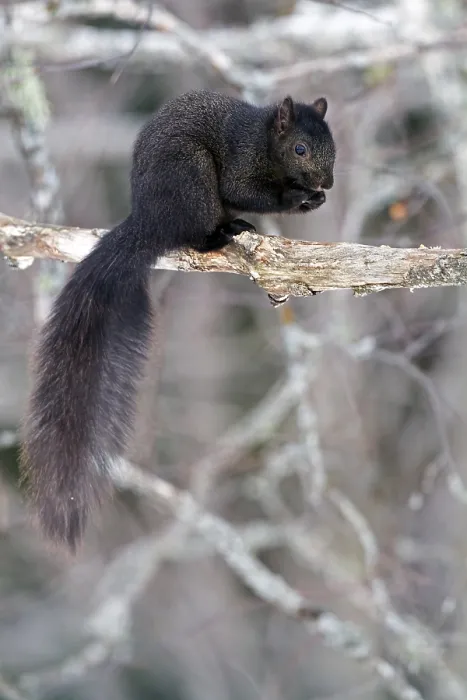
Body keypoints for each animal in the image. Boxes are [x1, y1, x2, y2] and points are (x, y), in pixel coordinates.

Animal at [19, 90, 336, 551]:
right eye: (300, 149)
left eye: (333, 144)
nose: (325, 184)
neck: (264, 141)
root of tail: (149, 219)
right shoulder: (241, 158)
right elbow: (244, 189)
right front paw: (296, 198)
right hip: (192, 177)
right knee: (196, 230)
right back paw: (220, 234)